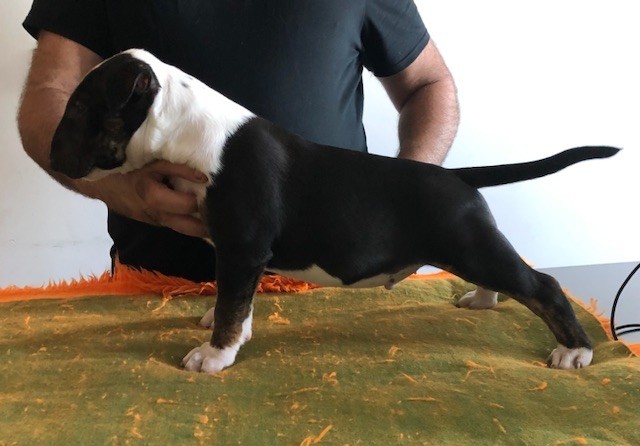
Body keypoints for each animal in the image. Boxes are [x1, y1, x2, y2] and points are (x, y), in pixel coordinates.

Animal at [50, 49, 619, 373]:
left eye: (78, 108)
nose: (52, 159)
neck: (188, 130)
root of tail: (460, 177)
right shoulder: (242, 255)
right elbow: (238, 301)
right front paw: (233, 334)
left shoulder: (242, 246)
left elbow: (232, 303)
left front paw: (215, 355)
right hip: (471, 247)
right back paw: (482, 300)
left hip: (470, 243)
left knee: (542, 285)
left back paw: (576, 351)